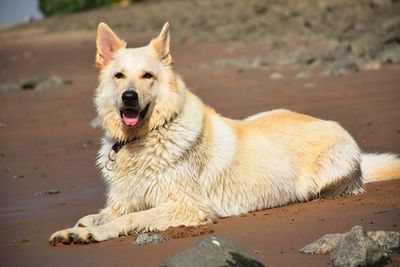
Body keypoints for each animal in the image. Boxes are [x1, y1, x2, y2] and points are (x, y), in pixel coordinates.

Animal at [49, 23, 400, 247]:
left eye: (147, 76)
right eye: (119, 76)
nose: (129, 97)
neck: (145, 139)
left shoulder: (187, 206)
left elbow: (128, 219)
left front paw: (92, 234)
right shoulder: (124, 201)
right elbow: (98, 215)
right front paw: (76, 228)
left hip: (324, 175)